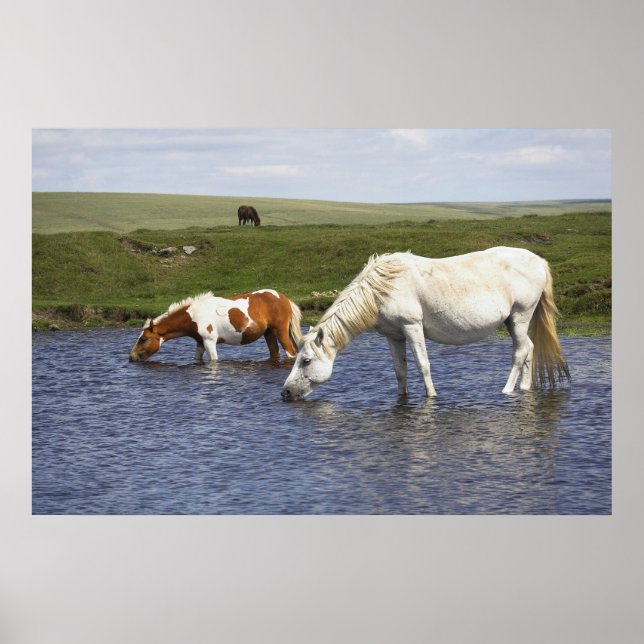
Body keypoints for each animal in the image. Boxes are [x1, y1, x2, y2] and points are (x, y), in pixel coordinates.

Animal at [129, 289, 302, 363]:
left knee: (292, 353)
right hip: (269, 333)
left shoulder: (209, 342)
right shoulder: (200, 343)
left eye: (143, 339)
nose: (130, 357)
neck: (194, 315)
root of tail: (284, 298)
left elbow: (213, 360)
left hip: (280, 332)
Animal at [281, 248, 570, 400]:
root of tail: (539, 261)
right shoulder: (394, 335)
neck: (382, 289)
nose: (286, 393)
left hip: (521, 315)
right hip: (515, 321)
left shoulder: (412, 327)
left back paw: (507, 390)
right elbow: (400, 370)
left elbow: (423, 365)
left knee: (520, 352)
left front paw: (431, 397)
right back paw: (525, 388)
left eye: (306, 361)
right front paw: (402, 398)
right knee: (530, 349)